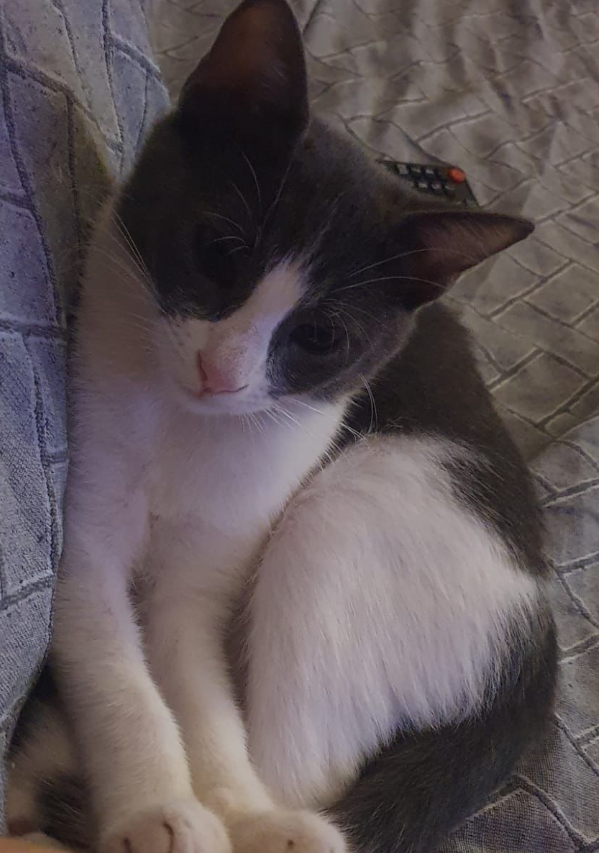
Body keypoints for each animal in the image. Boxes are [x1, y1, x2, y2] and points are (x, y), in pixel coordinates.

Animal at [6, 0, 557, 851]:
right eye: (217, 252)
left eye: (319, 336)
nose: (221, 370)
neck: (189, 428)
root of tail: (537, 653)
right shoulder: (87, 528)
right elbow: (119, 674)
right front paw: (153, 805)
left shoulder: (207, 572)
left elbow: (205, 698)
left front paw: (230, 805)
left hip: (342, 516)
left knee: (298, 766)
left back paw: (270, 821)